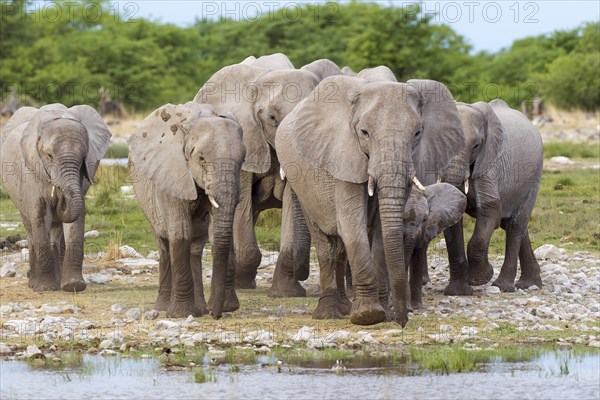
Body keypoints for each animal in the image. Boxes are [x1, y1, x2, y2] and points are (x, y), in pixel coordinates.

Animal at [0, 103, 111, 292]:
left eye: (83, 157)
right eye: (49, 156)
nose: (60, 198)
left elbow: (76, 218)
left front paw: (73, 286)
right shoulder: (31, 172)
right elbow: (40, 214)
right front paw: (45, 288)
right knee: (31, 228)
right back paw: (34, 283)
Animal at [129, 101, 246, 318]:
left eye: (243, 160)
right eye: (201, 158)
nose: (216, 314)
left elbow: (216, 235)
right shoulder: (171, 173)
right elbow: (180, 233)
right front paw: (180, 315)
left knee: (195, 247)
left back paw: (199, 309)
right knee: (164, 243)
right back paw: (163, 308)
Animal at [278, 76, 466, 326]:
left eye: (418, 133)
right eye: (364, 132)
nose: (402, 321)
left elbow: (380, 232)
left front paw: (383, 313)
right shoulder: (344, 158)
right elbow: (351, 225)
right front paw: (368, 315)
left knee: (340, 250)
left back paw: (345, 307)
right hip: (301, 185)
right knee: (324, 242)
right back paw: (328, 313)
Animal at [446, 99, 544, 294]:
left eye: (476, 146)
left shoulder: (490, 162)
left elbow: (490, 208)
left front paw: (480, 279)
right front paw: (457, 292)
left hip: (534, 175)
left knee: (516, 225)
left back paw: (504, 286)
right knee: (516, 224)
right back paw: (530, 283)